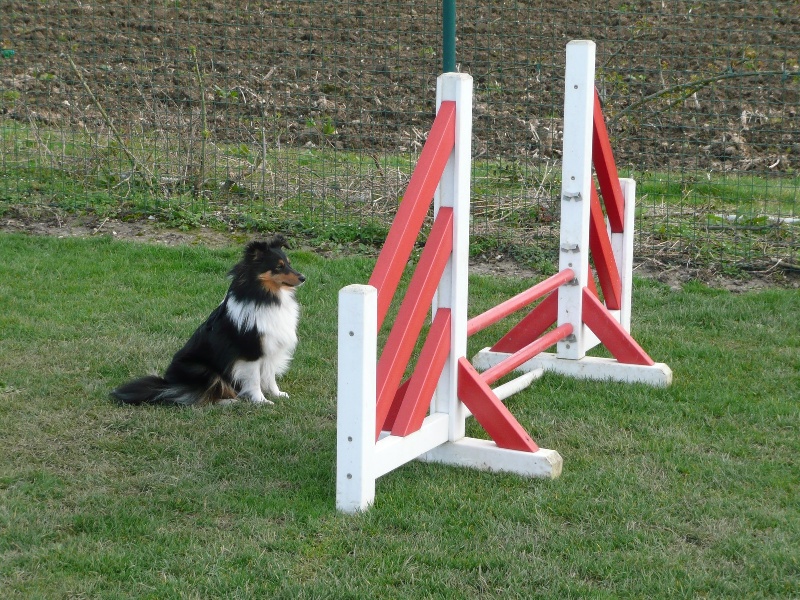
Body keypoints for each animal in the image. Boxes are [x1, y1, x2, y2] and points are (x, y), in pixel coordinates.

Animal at [109, 237, 304, 406]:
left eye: (289, 263)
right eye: (278, 267)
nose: (303, 278)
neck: (264, 298)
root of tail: (167, 384)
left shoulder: (271, 348)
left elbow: (270, 377)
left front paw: (277, 394)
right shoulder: (251, 352)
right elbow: (254, 379)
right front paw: (261, 401)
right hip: (204, 370)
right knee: (203, 398)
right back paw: (230, 402)